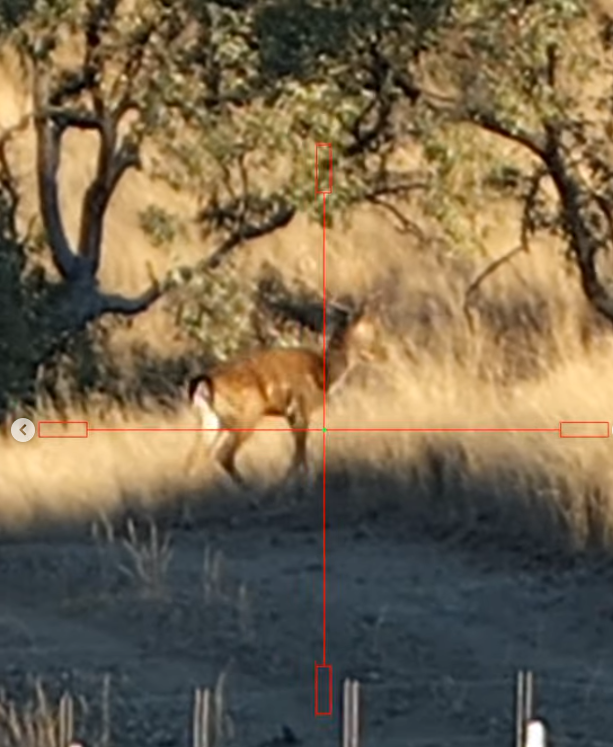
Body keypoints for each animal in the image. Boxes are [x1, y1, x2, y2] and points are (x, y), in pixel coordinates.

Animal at [184, 298, 386, 492]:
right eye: (374, 329)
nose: (383, 353)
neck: (325, 374)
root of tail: (203, 383)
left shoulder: (291, 413)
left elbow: (300, 450)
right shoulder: (300, 407)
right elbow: (300, 451)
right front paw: (295, 482)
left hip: (211, 420)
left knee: (196, 457)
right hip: (246, 413)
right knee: (223, 455)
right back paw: (251, 491)